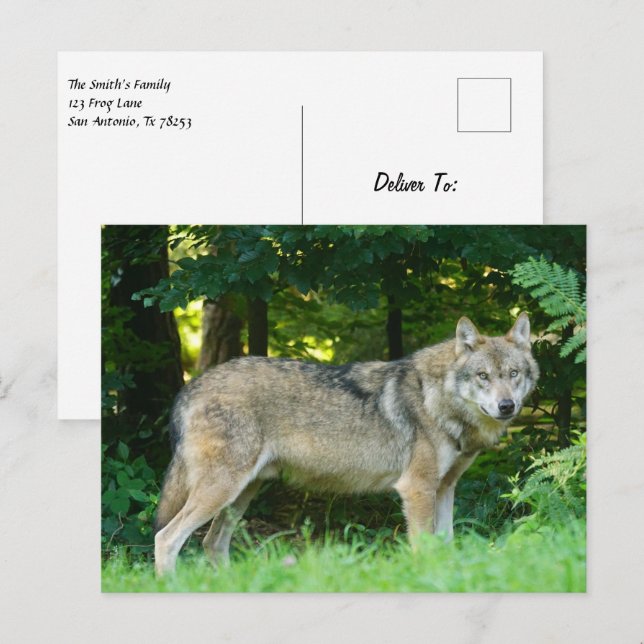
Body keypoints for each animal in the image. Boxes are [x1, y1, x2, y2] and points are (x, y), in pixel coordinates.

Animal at [154, 313, 538, 575]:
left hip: (241, 494)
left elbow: (446, 545)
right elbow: (424, 549)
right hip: (222, 491)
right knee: (167, 538)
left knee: (212, 543)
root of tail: (190, 387)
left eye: (513, 374)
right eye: (483, 376)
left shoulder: (445, 488)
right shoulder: (417, 489)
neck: (438, 399)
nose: (507, 406)